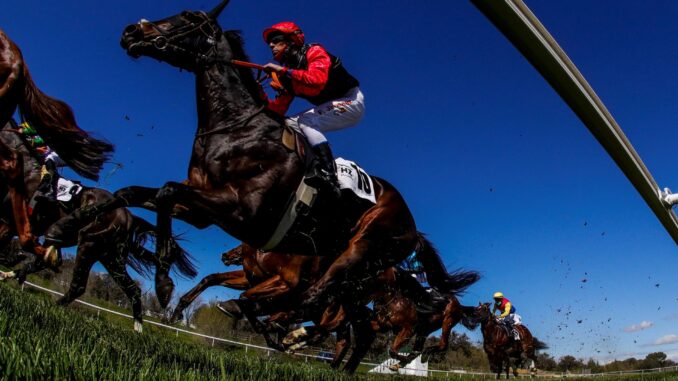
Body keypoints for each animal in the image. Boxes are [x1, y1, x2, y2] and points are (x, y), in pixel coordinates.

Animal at [0, 121, 197, 330]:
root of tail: (129, 217)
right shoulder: (9, 223)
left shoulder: (8, 221)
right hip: (110, 256)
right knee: (133, 289)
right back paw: (137, 329)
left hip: (89, 244)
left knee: (78, 286)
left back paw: (53, 305)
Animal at [51, 0, 462, 312]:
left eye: (189, 17)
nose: (131, 33)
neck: (234, 129)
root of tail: (412, 225)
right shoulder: (201, 209)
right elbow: (133, 193)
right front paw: (66, 223)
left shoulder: (242, 211)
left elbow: (166, 190)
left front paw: (165, 280)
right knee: (318, 297)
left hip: (362, 248)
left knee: (314, 296)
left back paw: (255, 312)